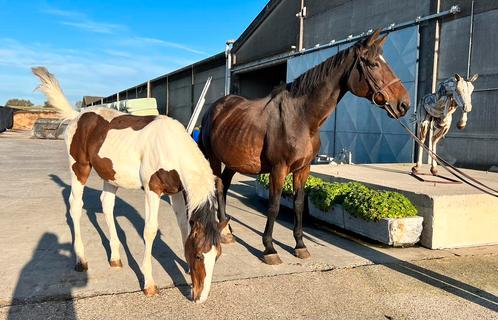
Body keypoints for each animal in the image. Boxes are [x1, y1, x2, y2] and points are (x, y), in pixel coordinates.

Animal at [34, 67, 229, 302]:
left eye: (217, 255)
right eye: (199, 255)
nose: (200, 298)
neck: (171, 146)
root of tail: (77, 116)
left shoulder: (176, 192)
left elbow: (183, 226)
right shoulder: (153, 190)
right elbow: (150, 231)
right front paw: (149, 284)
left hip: (111, 176)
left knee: (106, 204)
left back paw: (115, 258)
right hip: (79, 168)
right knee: (75, 206)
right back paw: (81, 260)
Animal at [200, 30, 410, 264]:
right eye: (373, 64)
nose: (403, 104)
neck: (301, 118)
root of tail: (216, 108)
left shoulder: (303, 169)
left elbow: (299, 204)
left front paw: (300, 245)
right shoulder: (279, 169)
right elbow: (273, 206)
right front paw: (269, 248)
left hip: (235, 161)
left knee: (225, 186)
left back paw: (227, 229)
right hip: (214, 158)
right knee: (219, 187)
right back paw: (223, 232)